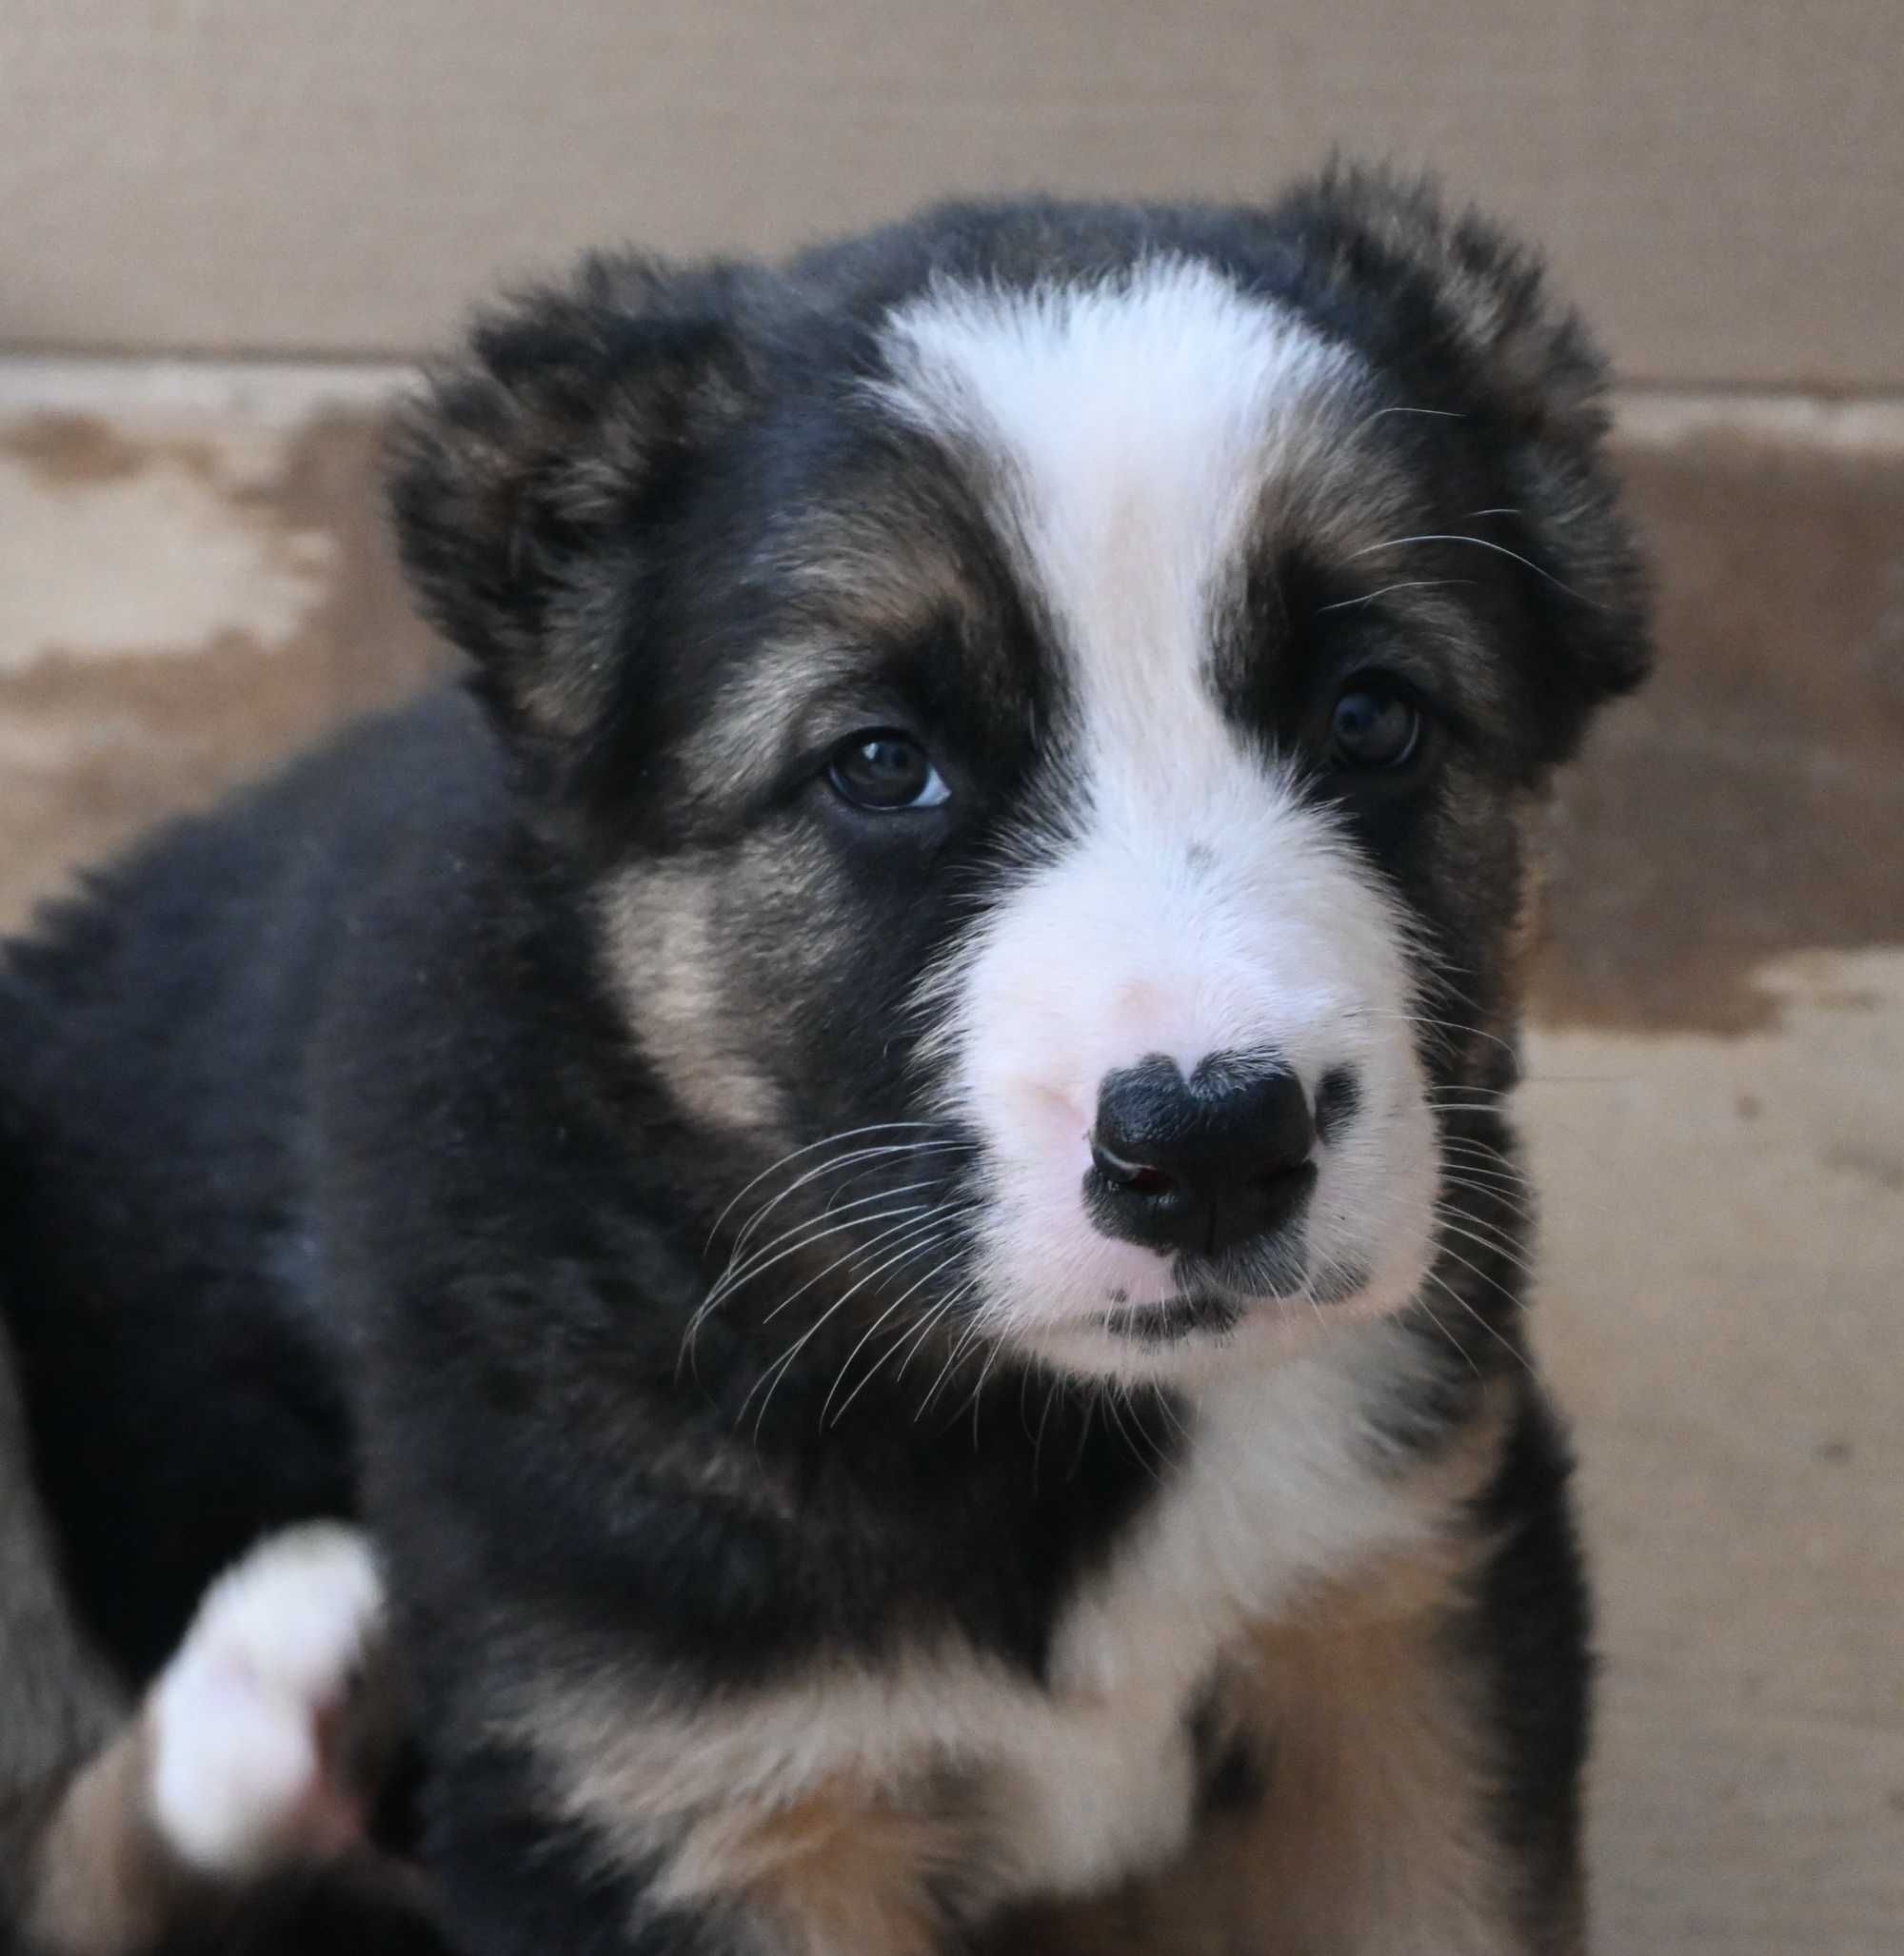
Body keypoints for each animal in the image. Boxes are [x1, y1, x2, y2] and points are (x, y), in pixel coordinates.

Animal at [0, 171, 1643, 1956]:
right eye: (881, 764)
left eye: (1371, 715)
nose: (1212, 1146)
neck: (1049, 1435)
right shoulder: (672, 1801)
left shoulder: (1413, 1617)